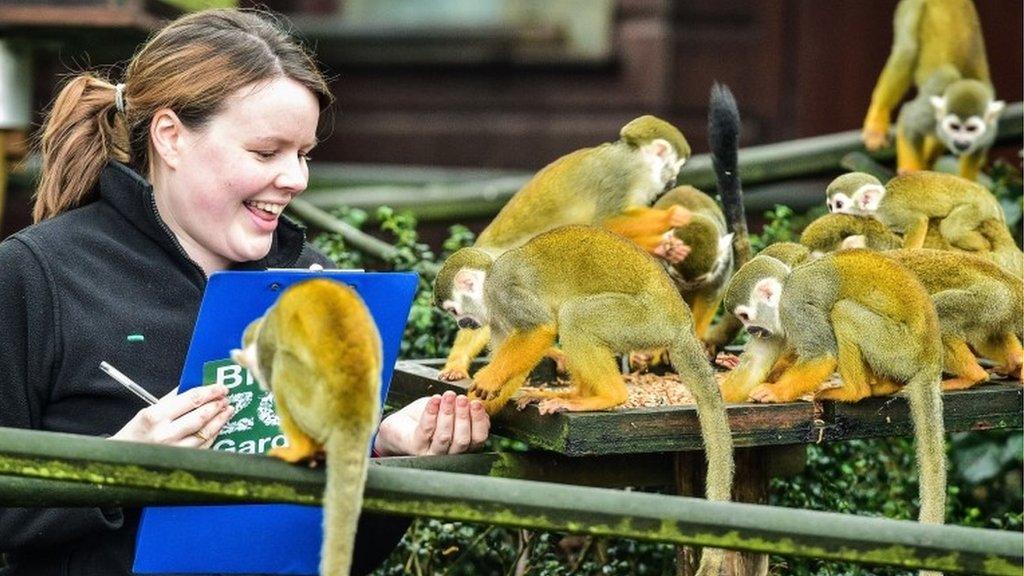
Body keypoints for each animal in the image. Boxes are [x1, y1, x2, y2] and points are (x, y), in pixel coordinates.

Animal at [230, 276, 382, 569]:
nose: (259, 385)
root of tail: (352, 415)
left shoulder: (267, 337)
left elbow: (270, 359)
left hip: (315, 404)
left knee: (282, 366)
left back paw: (301, 449)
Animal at [440, 114, 696, 379]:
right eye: (676, 166)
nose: (673, 180)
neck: (632, 156)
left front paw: (667, 246)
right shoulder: (623, 174)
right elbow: (608, 222)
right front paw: (671, 217)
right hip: (502, 269)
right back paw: (458, 361)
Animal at [724, 251, 946, 545]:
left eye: (745, 316)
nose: (751, 331)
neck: (785, 291)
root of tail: (932, 357)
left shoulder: (795, 309)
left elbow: (822, 355)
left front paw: (774, 392)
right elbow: (755, 364)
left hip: (900, 348)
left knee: (842, 311)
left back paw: (856, 390)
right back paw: (883, 385)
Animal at [860, 0, 995, 170]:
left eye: (973, 130)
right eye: (956, 127)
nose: (963, 143)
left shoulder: (987, 131)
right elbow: (907, 121)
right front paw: (911, 171)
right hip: (913, 6)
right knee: (907, 50)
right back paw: (877, 118)